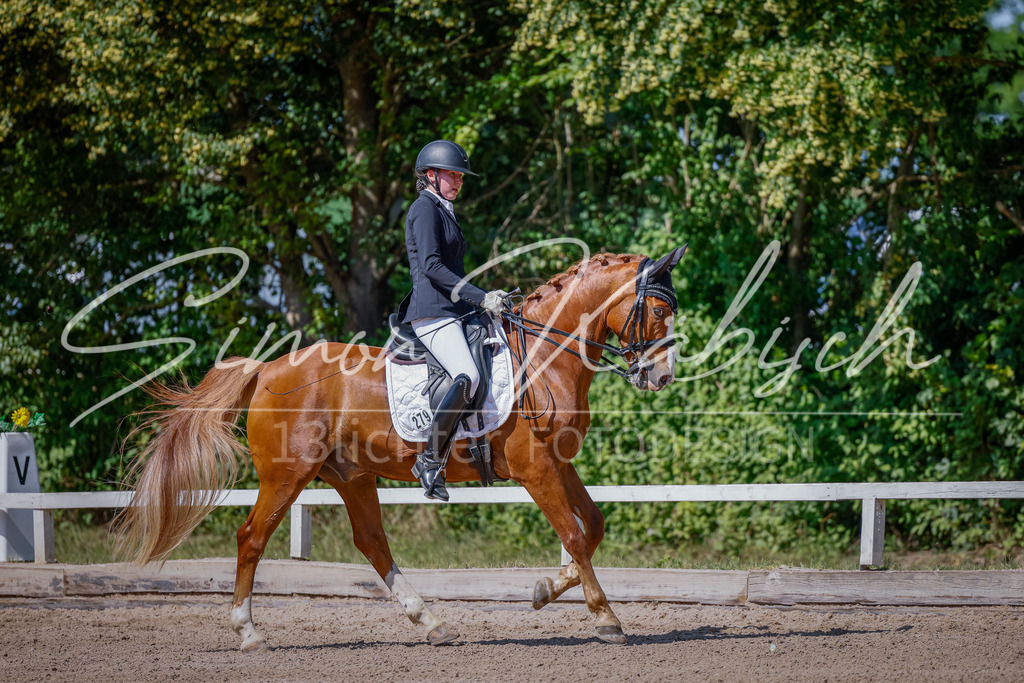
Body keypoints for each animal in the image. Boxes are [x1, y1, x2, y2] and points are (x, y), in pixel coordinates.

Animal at [114, 246, 686, 650]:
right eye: (659, 309)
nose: (660, 377)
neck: (544, 355)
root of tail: (267, 369)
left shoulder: (558, 462)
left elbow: (593, 527)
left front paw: (547, 589)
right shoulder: (535, 468)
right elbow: (573, 532)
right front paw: (605, 616)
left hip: (351, 475)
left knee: (372, 542)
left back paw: (429, 621)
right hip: (286, 475)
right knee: (251, 538)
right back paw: (249, 632)